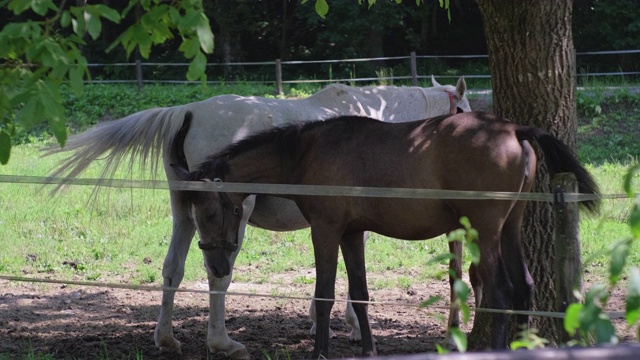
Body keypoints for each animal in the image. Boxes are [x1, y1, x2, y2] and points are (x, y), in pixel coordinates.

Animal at [46, 75, 470, 358]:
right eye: (464, 110)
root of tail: (186, 111)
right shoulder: (348, 226)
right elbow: (349, 283)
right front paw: (348, 326)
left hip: (184, 214)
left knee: (173, 269)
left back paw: (166, 338)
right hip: (229, 220)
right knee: (218, 275)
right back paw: (222, 342)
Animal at [170, 110, 600, 358]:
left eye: (209, 212)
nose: (217, 265)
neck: (307, 152)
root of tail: (511, 129)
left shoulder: (325, 231)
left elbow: (324, 295)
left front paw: (320, 351)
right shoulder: (351, 234)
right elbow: (359, 295)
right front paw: (369, 349)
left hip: (485, 231)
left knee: (501, 292)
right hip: (509, 228)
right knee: (525, 287)